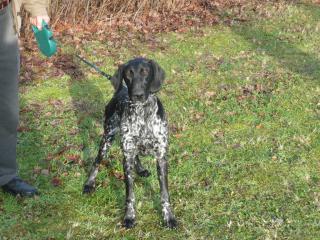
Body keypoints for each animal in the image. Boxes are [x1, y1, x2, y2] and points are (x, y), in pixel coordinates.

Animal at [82, 57, 178, 229]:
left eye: (145, 72)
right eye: (128, 74)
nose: (137, 95)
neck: (142, 113)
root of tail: (120, 89)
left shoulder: (161, 157)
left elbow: (164, 194)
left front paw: (168, 217)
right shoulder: (126, 157)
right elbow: (130, 193)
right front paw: (129, 216)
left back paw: (140, 169)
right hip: (107, 138)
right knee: (97, 161)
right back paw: (89, 183)